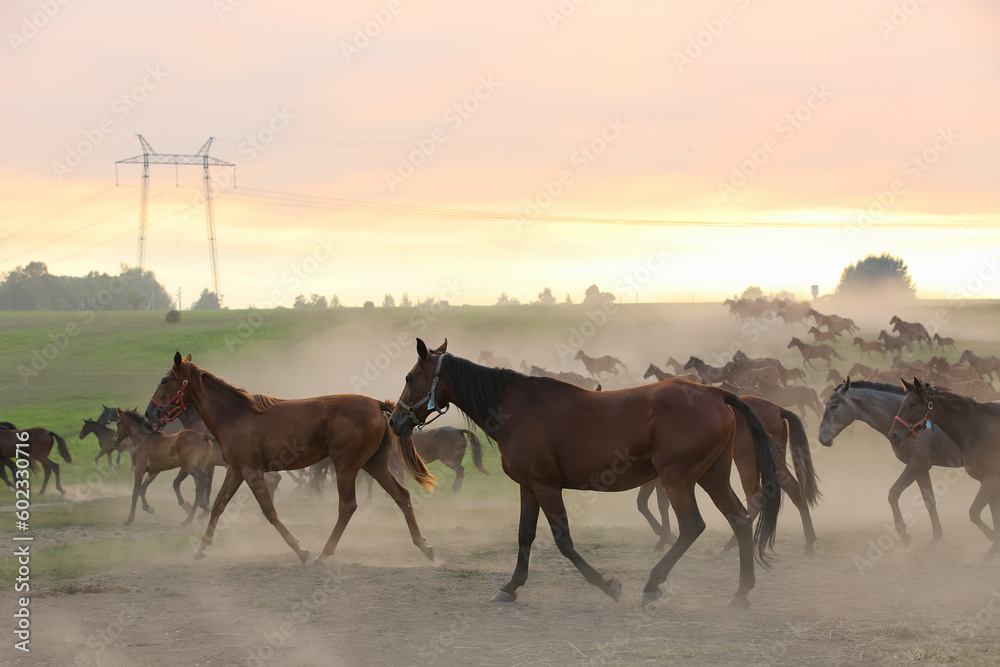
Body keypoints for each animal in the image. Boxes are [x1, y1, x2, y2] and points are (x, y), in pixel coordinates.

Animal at [145, 352, 435, 564]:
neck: (235, 415)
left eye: (164, 381)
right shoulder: (236, 470)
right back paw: (424, 546)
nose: (150, 413)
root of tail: (376, 404)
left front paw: (300, 549)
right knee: (402, 496)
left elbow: (269, 511)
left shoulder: (252, 472)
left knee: (347, 507)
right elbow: (218, 505)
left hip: (347, 466)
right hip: (374, 464)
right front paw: (201, 549)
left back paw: (323, 554)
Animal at [389, 339, 781, 608]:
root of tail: (716, 393)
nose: (394, 420)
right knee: (740, 520)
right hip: (712, 476)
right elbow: (524, 536)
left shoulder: (547, 487)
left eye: (410, 377)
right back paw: (741, 593)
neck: (516, 408)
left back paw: (653, 584)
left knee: (691, 527)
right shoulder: (529, 488)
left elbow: (563, 541)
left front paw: (606, 584)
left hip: (678, 479)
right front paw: (511, 587)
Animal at [637, 394, 820, 555]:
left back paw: (732, 543)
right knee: (795, 491)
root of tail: (777, 409)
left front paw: (665, 537)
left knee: (756, 499)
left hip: (747, 461)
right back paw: (809, 542)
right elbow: (651, 503)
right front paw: (664, 538)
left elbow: (648, 503)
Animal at [819, 378, 963, 548]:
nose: (821, 437)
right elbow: (929, 501)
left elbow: (893, 493)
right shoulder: (921, 470)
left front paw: (904, 534)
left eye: (834, 405)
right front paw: (935, 538)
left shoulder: (917, 464)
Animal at [889, 378, 1000, 560]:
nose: (893, 435)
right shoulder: (988, 482)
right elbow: (992, 515)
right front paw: (992, 550)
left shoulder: (991, 480)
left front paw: (991, 542)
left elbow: (974, 512)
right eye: (901, 403)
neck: (978, 430)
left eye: (912, 404)